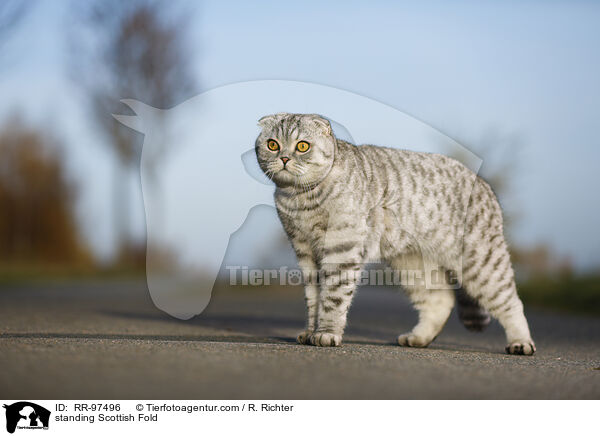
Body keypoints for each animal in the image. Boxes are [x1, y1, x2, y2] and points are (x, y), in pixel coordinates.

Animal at [253, 112, 536, 354]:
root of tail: (486, 185)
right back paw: (418, 338)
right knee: (440, 301)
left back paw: (521, 343)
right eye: (272, 144)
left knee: (512, 303)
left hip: (482, 263)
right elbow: (313, 298)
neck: (300, 199)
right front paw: (310, 331)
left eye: (302, 146)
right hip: (414, 265)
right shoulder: (304, 251)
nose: (284, 158)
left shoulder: (340, 248)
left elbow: (332, 297)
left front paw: (326, 333)